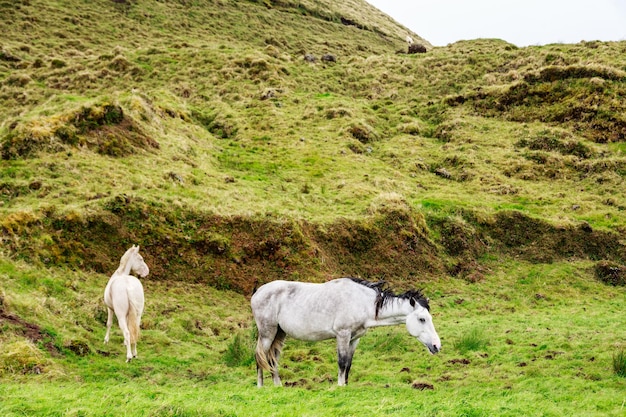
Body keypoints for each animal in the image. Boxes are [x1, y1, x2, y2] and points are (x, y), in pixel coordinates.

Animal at [249, 276, 438, 386]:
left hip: (279, 334)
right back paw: (261, 387)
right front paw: (339, 387)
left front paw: (345, 386)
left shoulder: (354, 339)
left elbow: (348, 363)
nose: (437, 346)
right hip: (267, 334)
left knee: (273, 360)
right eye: (422, 319)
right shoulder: (342, 335)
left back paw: (278, 386)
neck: (362, 301)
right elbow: (341, 362)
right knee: (260, 357)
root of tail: (258, 291)